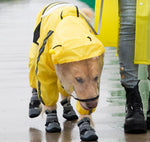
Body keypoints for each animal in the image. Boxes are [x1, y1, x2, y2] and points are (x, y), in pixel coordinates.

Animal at [28, 2, 104, 141]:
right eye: (79, 79)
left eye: (96, 78)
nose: (92, 104)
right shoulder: (45, 71)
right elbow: (47, 93)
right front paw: (52, 120)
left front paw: (86, 126)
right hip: (34, 56)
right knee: (34, 80)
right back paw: (34, 104)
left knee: (64, 93)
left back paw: (68, 109)